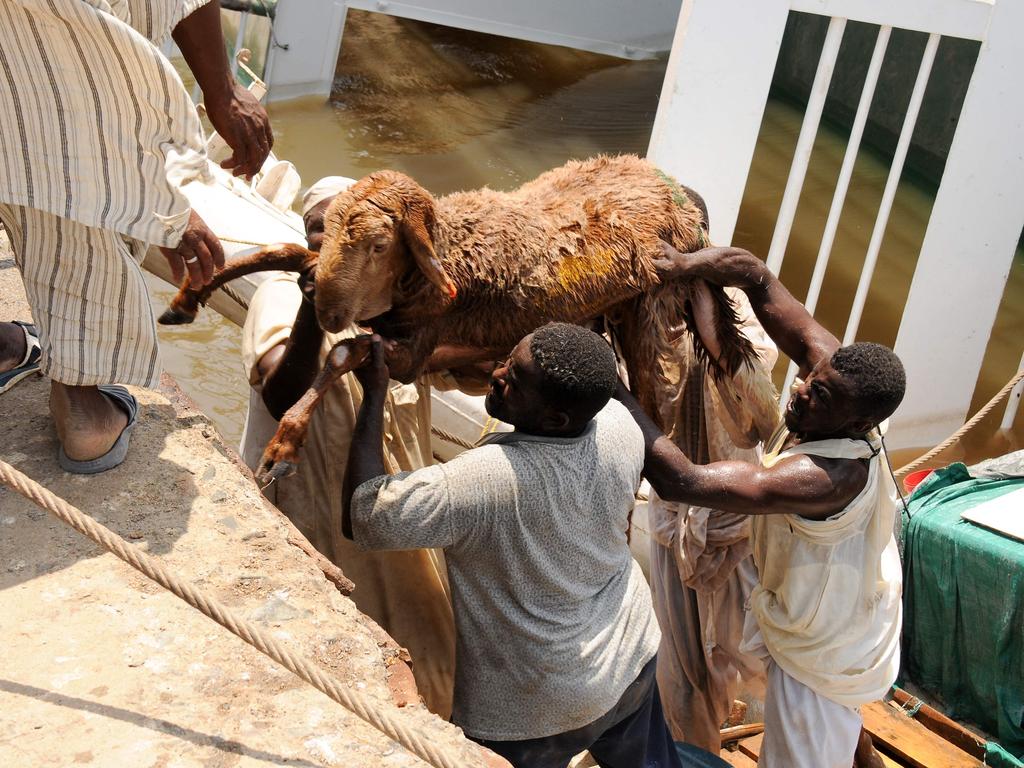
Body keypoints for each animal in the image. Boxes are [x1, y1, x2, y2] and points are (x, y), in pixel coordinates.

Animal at [157, 154, 753, 481]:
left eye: (379, 245)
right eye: (329, 231)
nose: (326, 309)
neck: (450, 254)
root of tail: (674, 190)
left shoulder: (412, 350)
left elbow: (346, 352)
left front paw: (284, 445)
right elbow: (279, 252)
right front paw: (188, 296)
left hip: (648, 312)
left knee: (656, 406)